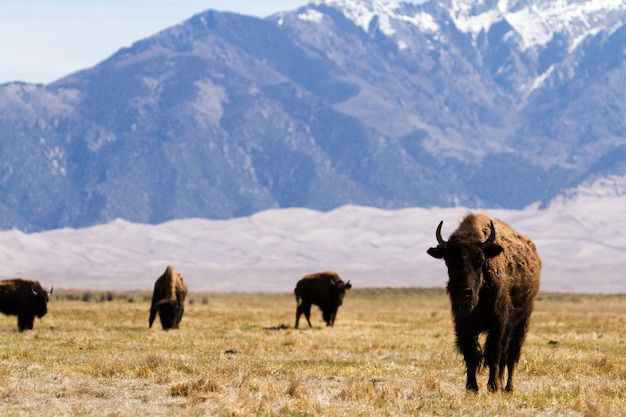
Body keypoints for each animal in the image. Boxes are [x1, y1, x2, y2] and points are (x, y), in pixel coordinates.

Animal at [424, 213, 540, 392]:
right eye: (448, 261)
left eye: (480, 260)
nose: (463, 293)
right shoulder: (463, 323)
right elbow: (471, 353)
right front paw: (472, 388)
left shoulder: (498, 322)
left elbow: (493, 353)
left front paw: (493, 386)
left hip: (523, 320)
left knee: (512, 355)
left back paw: (508, 387)